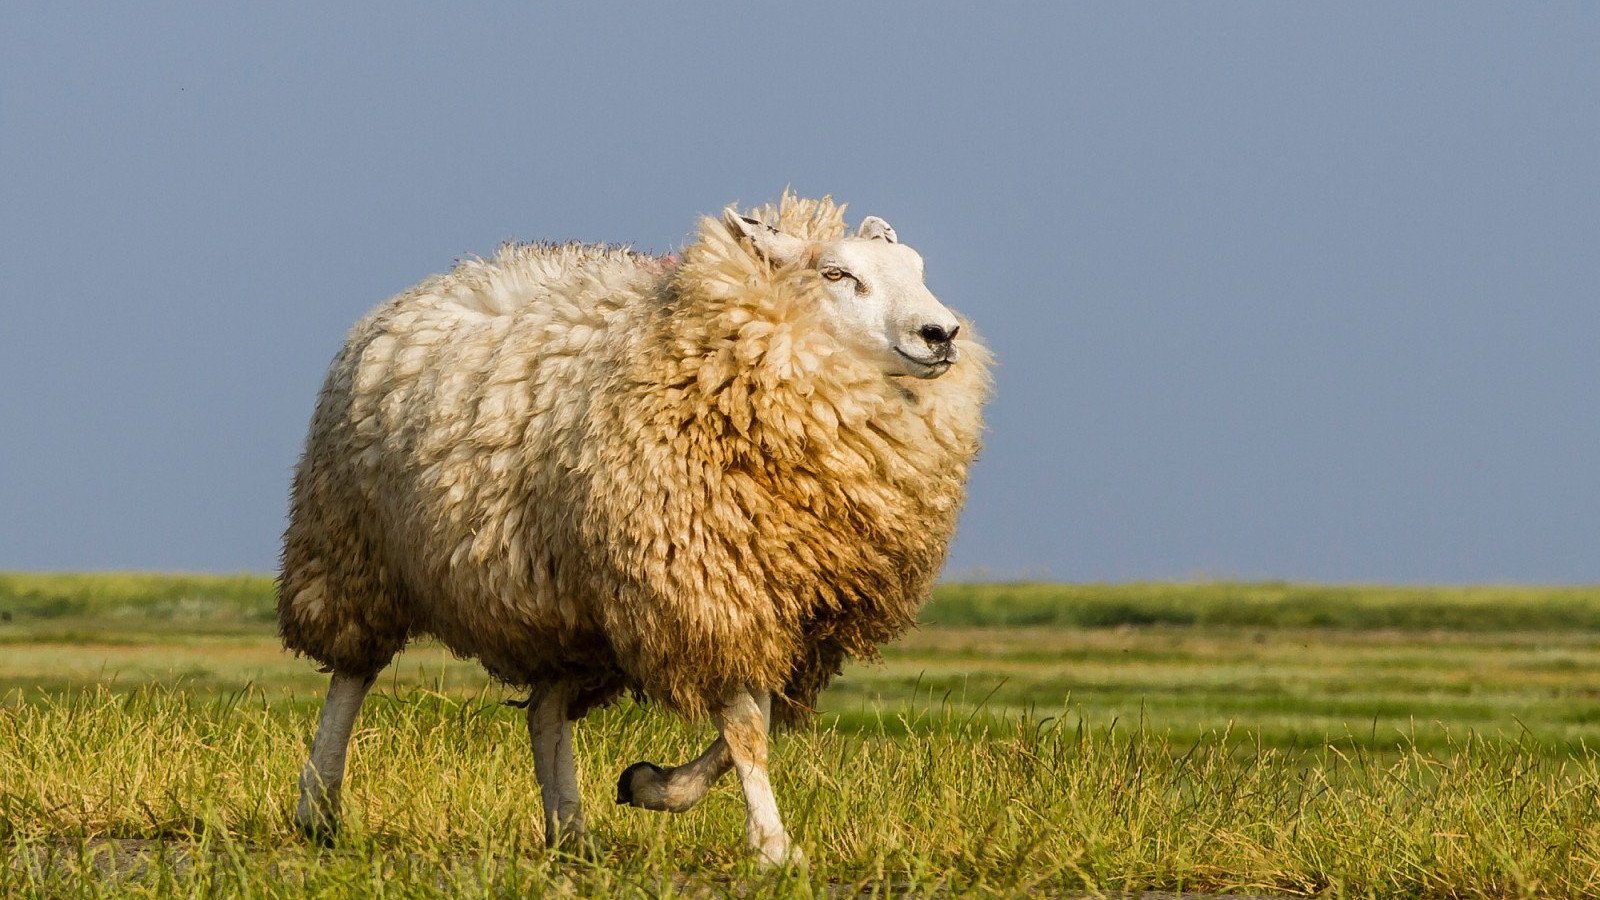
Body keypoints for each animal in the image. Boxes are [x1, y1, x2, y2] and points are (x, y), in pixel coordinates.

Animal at [278, 193, 991, 866]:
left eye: (917, 269)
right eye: (837, 273)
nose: (941, 333)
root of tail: (432, 285)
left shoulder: (790, 612)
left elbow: (755, 721)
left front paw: (652, 785)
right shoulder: (704, 587)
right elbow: (748, 727)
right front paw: (771, 845)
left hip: (563, 598)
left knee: (546, 709)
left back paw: (569, 830)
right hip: (351, 550)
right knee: (351, 676)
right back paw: (318, 808)